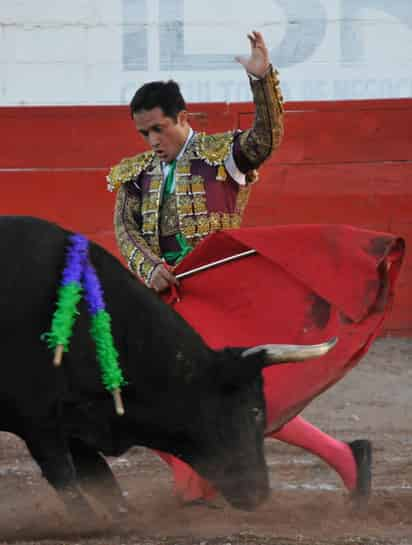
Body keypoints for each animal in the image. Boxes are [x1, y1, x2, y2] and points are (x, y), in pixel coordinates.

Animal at [0, 215, 334, 520]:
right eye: (254, 410)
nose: (261, 493)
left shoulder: (76, 425)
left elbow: (103, 483)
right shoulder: (39, 422)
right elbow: (68, 481)